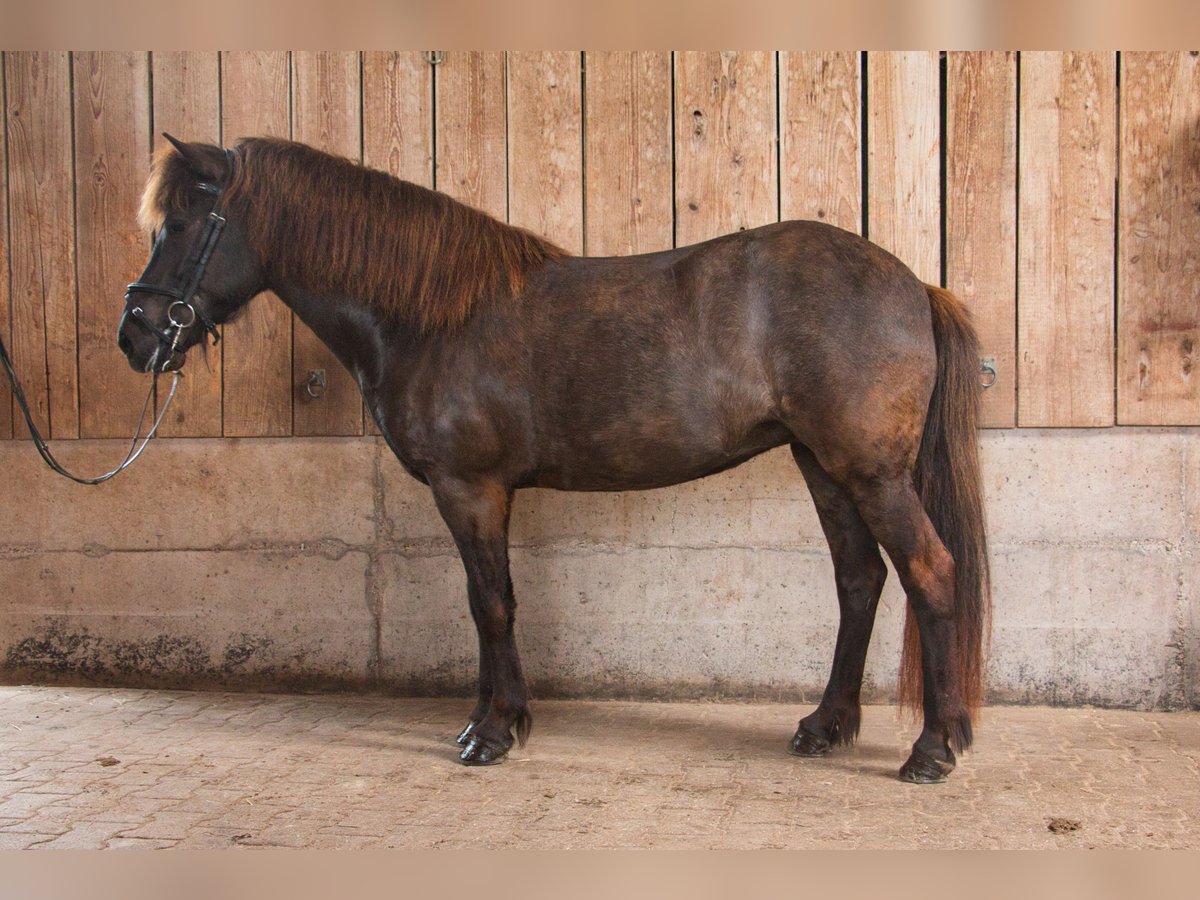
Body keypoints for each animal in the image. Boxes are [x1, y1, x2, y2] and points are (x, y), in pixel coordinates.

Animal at [119, 132, 993, 782]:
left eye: (183, 225)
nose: (136, 335)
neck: (428, 315)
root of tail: (915, 285)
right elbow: (484, 606)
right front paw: (489, 717)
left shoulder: (469, 488)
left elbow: (492, 604)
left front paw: (494, 733)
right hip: (824, 465)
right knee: (860, 581)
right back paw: (826, 726)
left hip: (871, 474)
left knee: (930, 575)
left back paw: (933, 749)